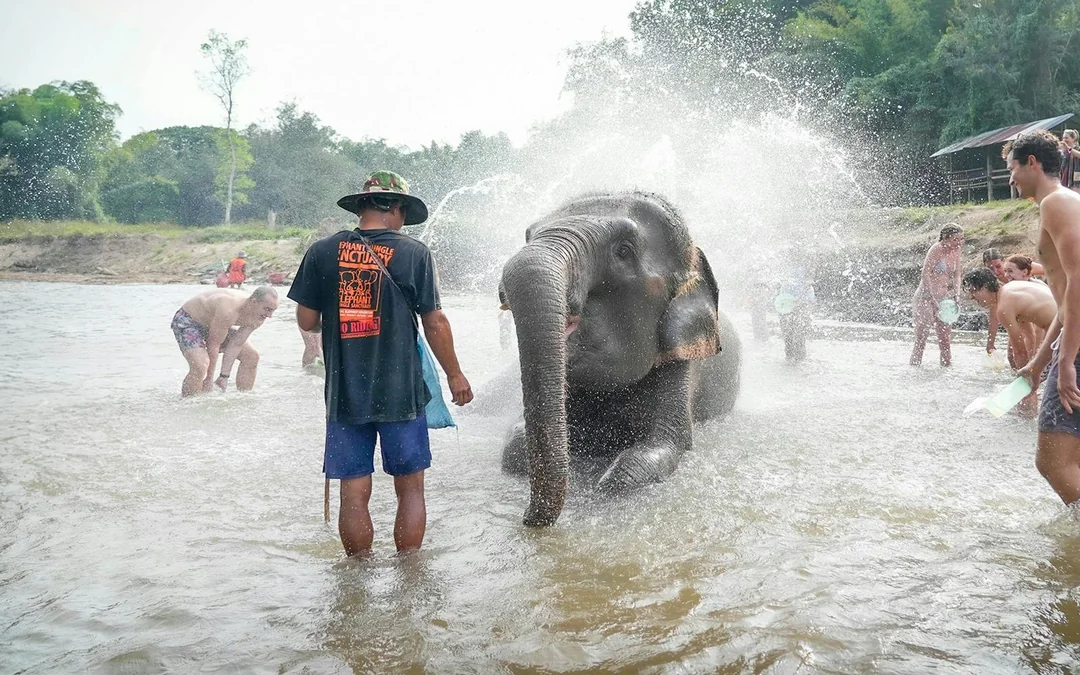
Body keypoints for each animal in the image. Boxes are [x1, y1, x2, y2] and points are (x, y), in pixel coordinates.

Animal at [498, 191, 742, 527]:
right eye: (527, 235)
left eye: (623, 251)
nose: (527, 519)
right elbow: (513, 448)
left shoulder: (686, 361)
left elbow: (662, 447)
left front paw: (608, 481)